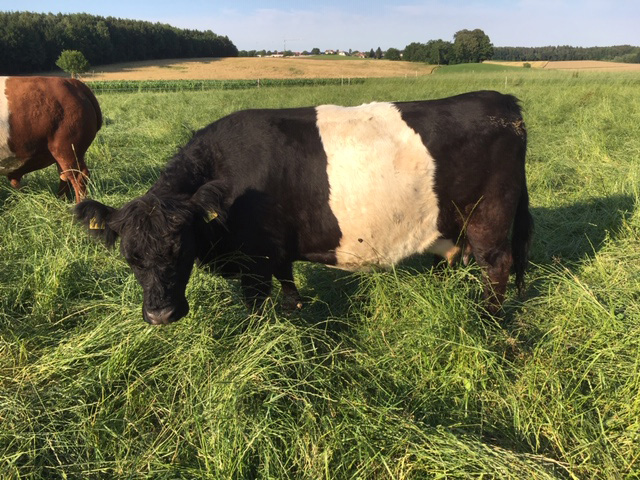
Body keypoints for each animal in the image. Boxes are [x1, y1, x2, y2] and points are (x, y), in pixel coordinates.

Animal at [74, 90, 536, 324]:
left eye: (181, 247)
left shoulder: (254, 260)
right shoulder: (275, 249)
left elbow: (256, 307)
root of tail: (502, 102)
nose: (161, 315)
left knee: (498, 265)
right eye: (130, 257)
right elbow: (288, 280)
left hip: (490, 217)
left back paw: (488, 321)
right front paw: (296, 308)